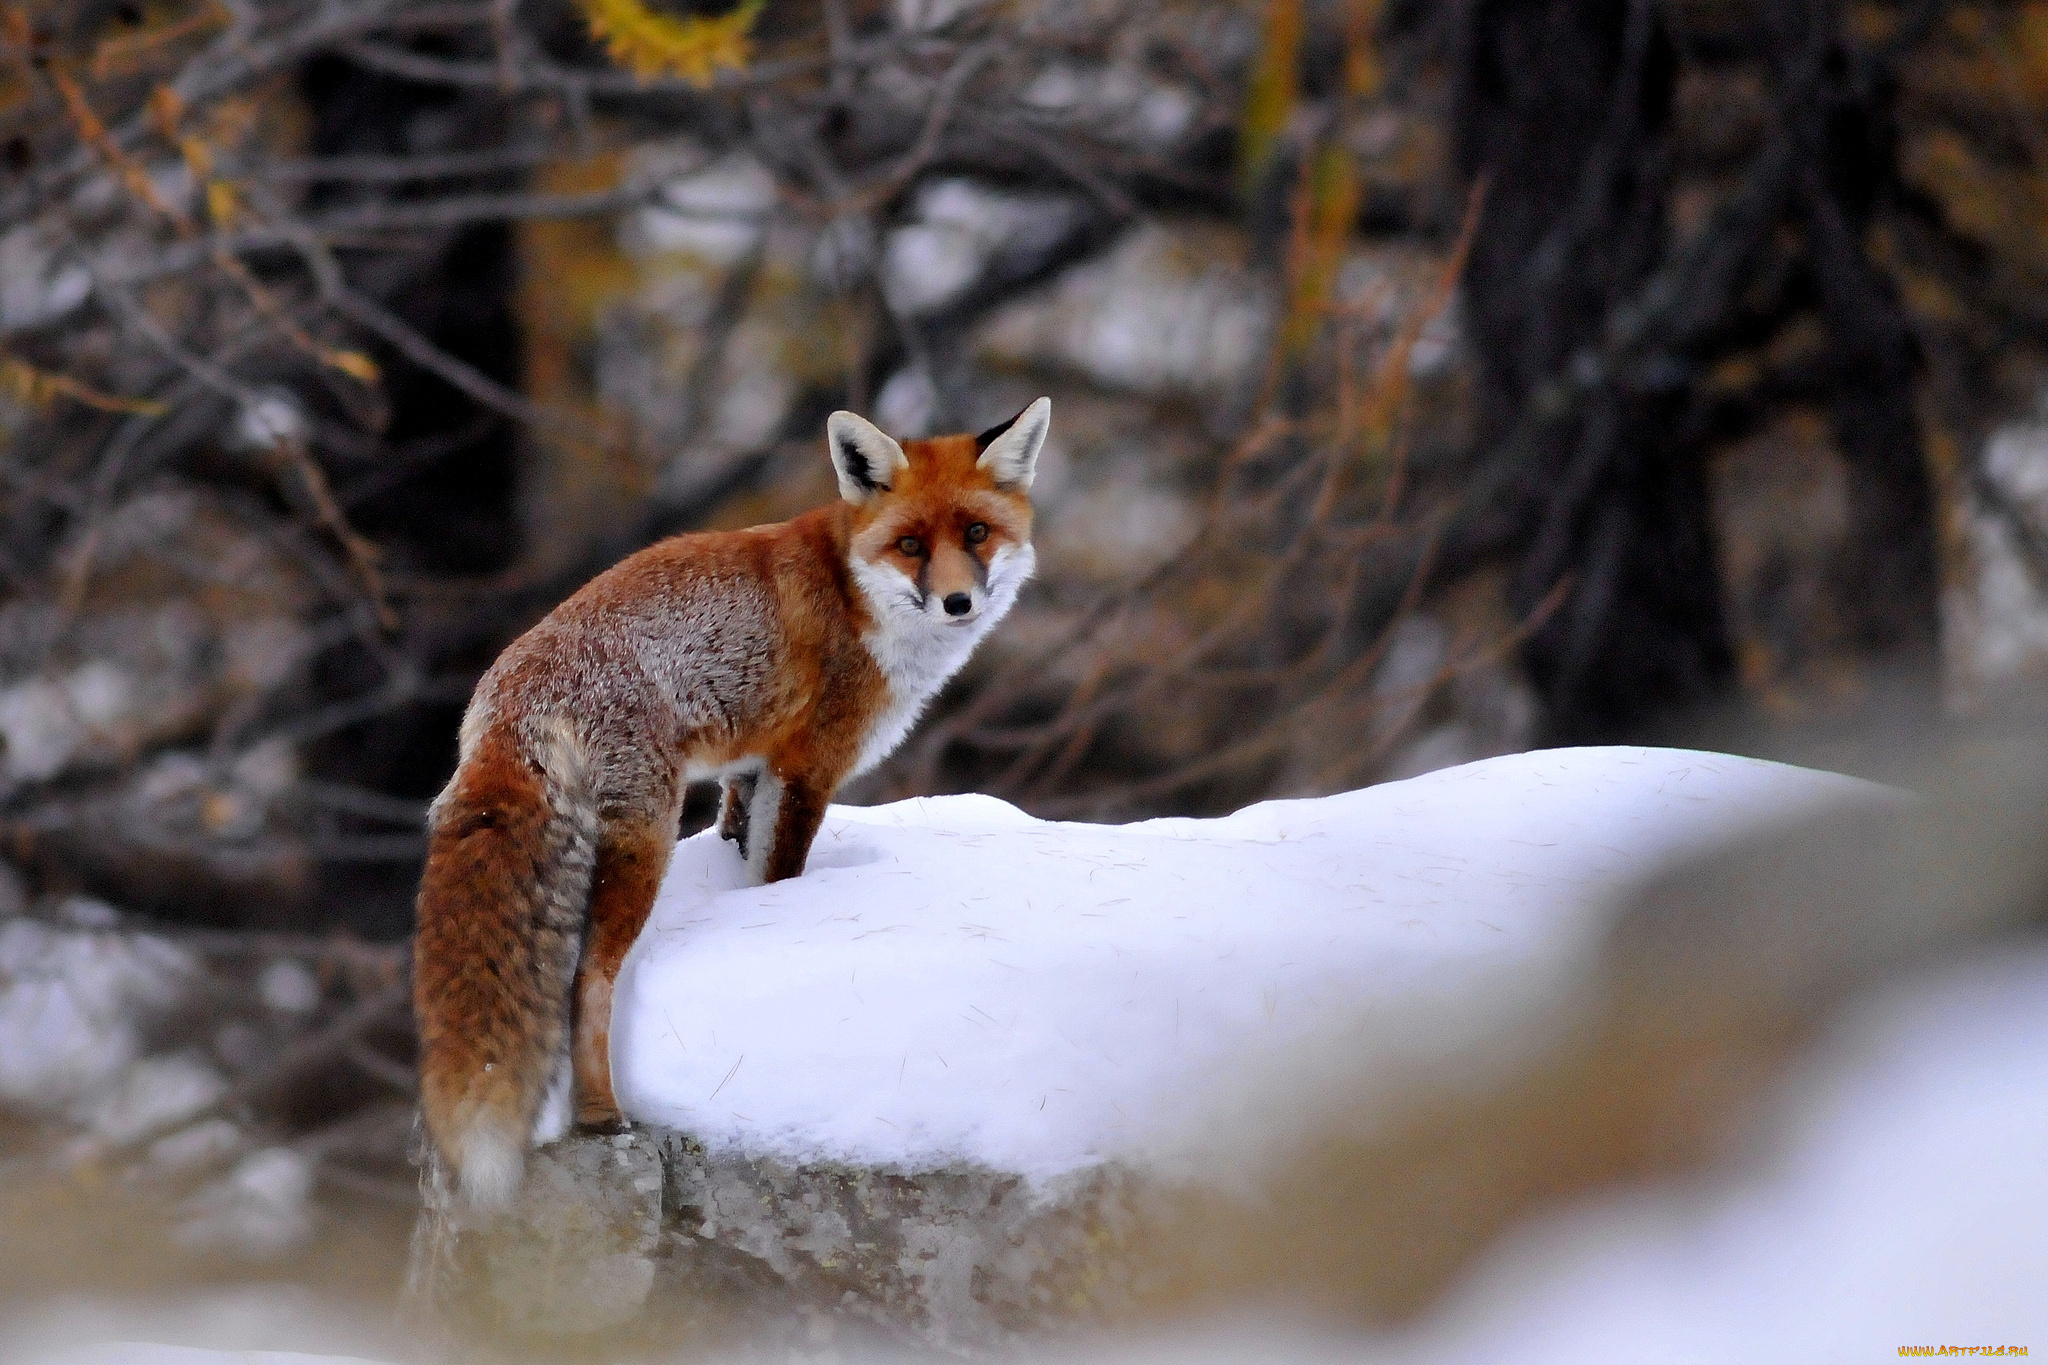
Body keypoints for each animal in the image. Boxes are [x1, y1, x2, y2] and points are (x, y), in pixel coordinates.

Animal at [417, 394, 1056, 1203]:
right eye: (911, 544)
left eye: (976, 532)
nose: (958, 601)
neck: (854, 594)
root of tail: (510, 695)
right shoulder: (806, 768)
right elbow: (777, 877)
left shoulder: (749, 771)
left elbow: (737, 851)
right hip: (645, 841)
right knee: (587, 982)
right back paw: (601, 1116)